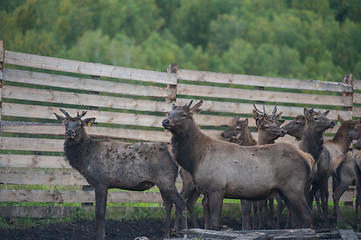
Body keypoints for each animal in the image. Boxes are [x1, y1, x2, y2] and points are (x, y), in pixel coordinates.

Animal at [54, 109, 187, 240]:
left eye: (80, 124)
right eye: (65, 123)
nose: (70, 132)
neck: (85, 158)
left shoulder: (101, 181)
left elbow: (100, 212)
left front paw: (101, 236)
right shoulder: (100, 184)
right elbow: (98, 211)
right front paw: (98, 235)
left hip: (166, 180)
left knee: (181, 202)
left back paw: (183, 232)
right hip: (161, 183)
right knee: (169, 205)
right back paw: (166, 235)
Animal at [162, 100, 314, 231]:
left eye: (184, 114)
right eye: (169, 112)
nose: (165, 121)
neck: (196, 159)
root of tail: (308, 158)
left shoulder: (217, 189)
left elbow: (214, 224)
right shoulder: (207, 191)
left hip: (294, 188)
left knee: (307, 215)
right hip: (284, 191)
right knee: (298, 217)